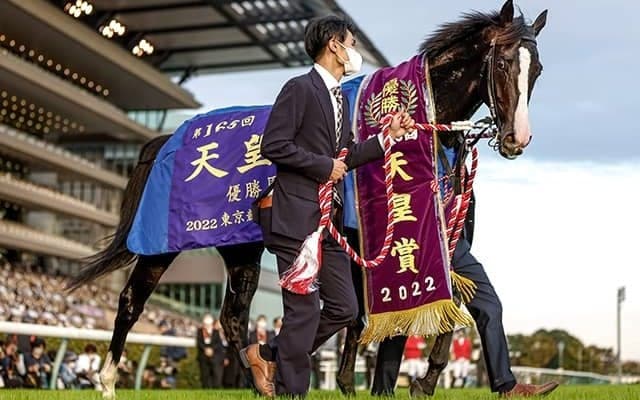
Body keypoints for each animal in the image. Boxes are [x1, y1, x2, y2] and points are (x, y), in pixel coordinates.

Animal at [66, 1, 546, 399]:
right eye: (504, 62)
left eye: (537, 69)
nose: (517, 139)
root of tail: (164, 140)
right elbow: (363, 316)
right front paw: (394, 382)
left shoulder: (439, 237)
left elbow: (456, 300)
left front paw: (406, 382)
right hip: (161, 245)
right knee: (132, 301)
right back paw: (107, 382)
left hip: (242, 248)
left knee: (233, 316)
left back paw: (260, 380)